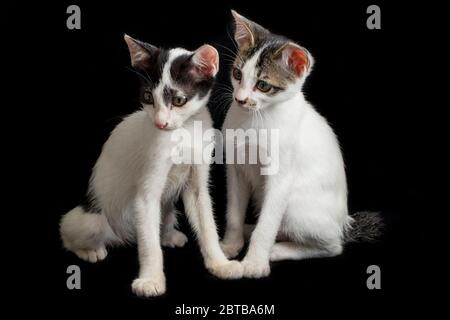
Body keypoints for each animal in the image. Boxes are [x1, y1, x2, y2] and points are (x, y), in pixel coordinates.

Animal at [60, 35, 243, 298]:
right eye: (147, 97)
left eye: (178, 100)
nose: (160, 123)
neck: (183, 133)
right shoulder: (146, 192)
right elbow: (149, 244)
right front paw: (151, 280)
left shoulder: (197, 181)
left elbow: (207, 223)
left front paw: (220, 264)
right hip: (91, 221)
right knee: (69, 232)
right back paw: (90, 250)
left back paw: (169, 234)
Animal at [220, 11, 382, 278]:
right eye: (237, 74)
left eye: (263, 85)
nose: (240, 99)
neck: (254, 120)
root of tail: (345, 223)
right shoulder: (236, 169)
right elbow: (234, 211)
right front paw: (230, 244)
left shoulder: (281, 178)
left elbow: (267, 224)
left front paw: (255, 262)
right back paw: (247, 230)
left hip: (296, 207)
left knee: (332, 246)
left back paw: (278, 249)